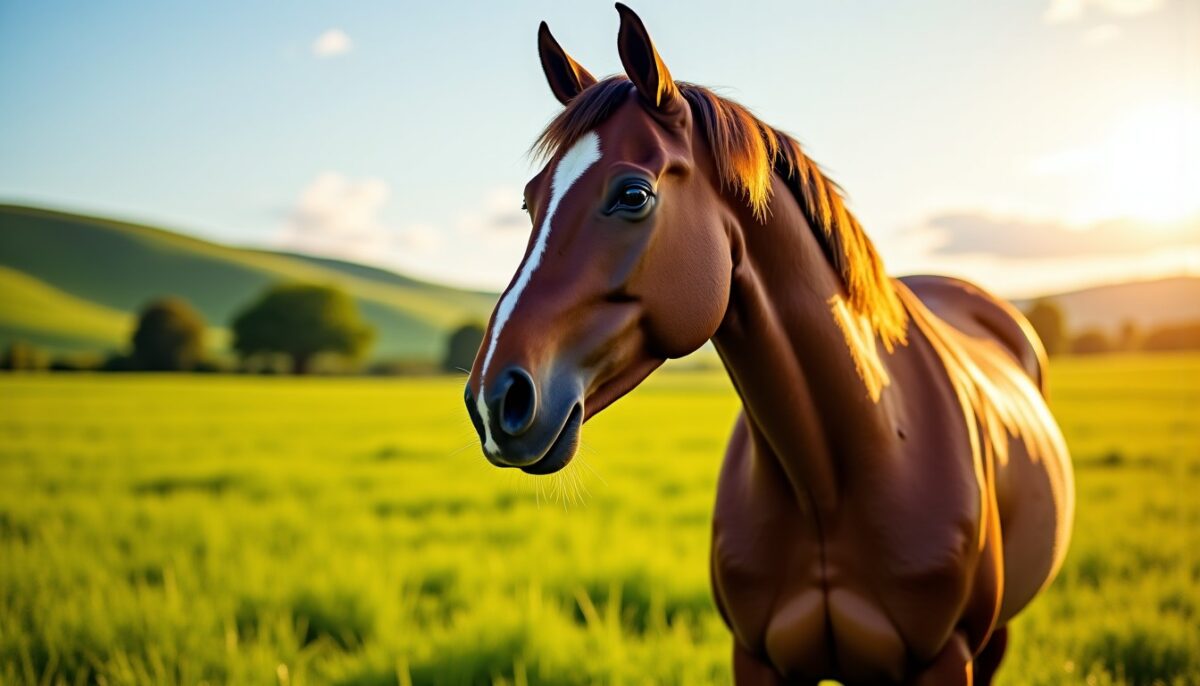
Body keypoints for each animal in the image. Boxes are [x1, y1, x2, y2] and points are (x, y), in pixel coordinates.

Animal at [464, 5, 1075, 684]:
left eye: (633, 194)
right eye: (528, 202)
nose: (494, 399)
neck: (833, 478)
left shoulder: (947, 658)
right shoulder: (757, 658)